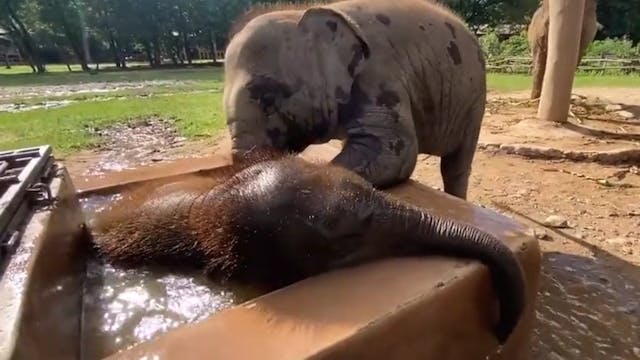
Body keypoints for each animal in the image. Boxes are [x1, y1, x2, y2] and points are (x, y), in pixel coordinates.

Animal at [224, 0, 484, 200]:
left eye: (268, 98)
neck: (302, 12)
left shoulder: (378, 74)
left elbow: (396, 152)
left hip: (474, 102)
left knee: (455, 166)